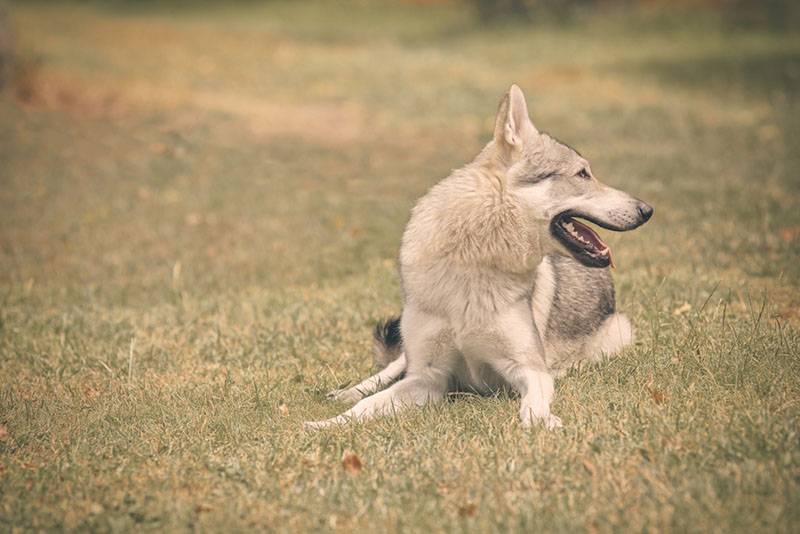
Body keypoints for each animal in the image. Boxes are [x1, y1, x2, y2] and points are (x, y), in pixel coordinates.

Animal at [304, 86, 648, 434]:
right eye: (583, 174)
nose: (647, 209)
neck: (474, 265)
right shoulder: (427, 377)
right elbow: (367, 405)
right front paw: (323, 424)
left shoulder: (527, 368)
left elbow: (534, 403)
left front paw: (541, 421)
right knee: (386, 371)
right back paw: (343, 393)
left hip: (619, 334)